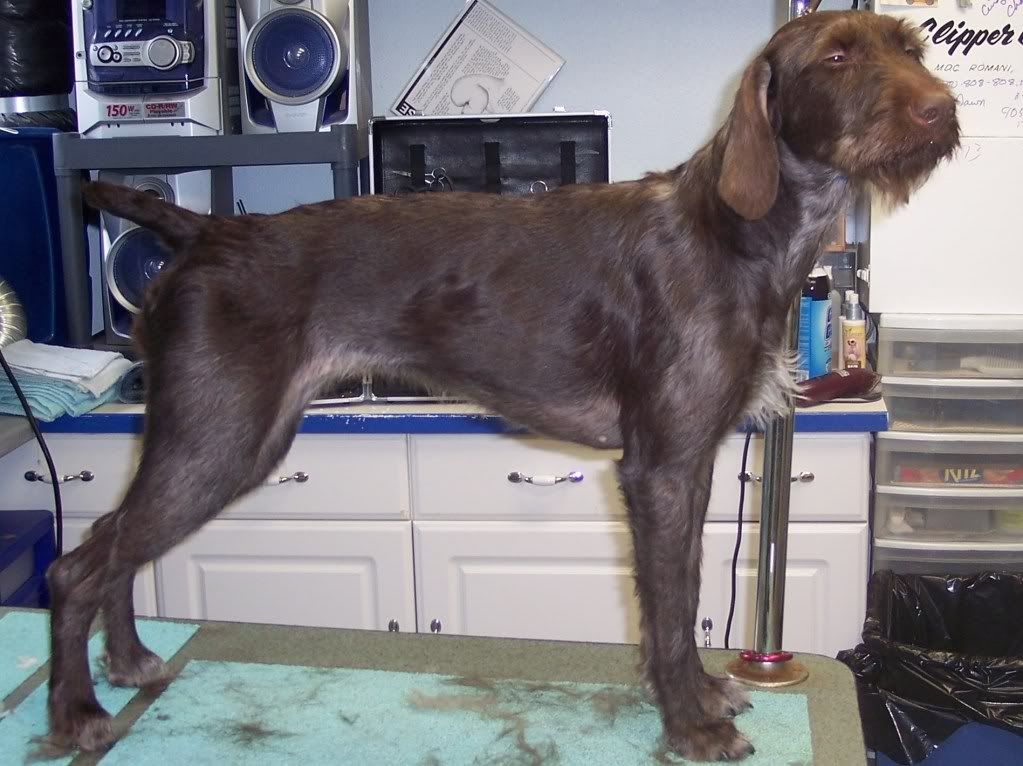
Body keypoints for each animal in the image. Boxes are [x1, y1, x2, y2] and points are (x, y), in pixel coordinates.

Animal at [44, 10, 958, 761]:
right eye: (836, 55)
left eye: (913, 49)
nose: (940, 110)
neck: (736, 232)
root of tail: (205, 231)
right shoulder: (659, 466)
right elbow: (669, 607)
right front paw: (689, 724)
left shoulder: (691, 461)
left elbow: (687, 592)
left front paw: (698, 696)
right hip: (218, 435)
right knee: (77, 564)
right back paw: (77, 712)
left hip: (227, 439)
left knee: (115, 545)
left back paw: (128, 660)